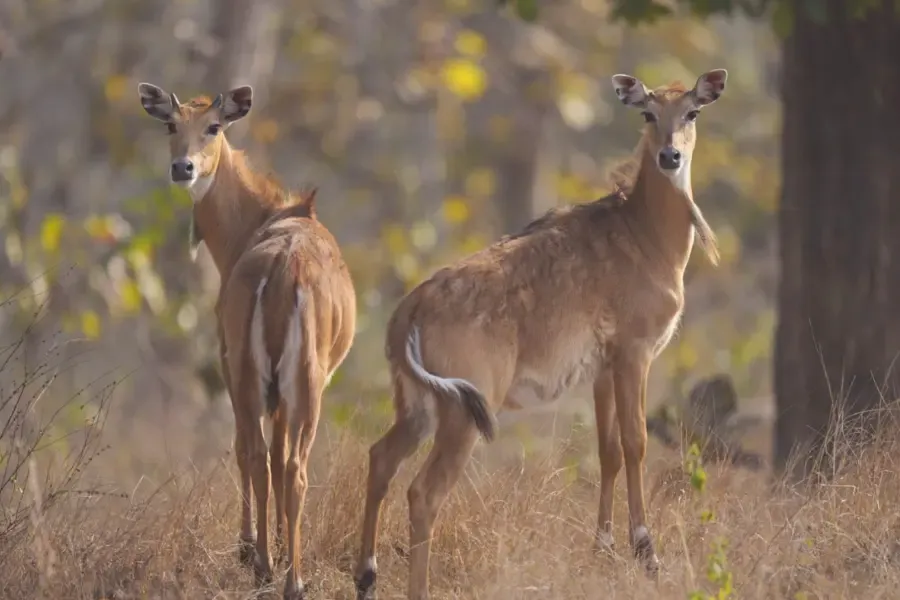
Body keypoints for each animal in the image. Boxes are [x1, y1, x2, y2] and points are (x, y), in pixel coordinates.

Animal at [137, 83, 356, 599]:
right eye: (170, 124)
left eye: (214, 126)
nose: (183, 168)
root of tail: (284, 267)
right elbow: (266, 452)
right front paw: (261, 546)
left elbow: (257, 450)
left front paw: (259, 545)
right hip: (296, 377)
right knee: (286, 464)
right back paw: (285, 575)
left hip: (255, 371)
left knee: (263, 456)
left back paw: (270, 567)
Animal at [352, 68, 728, 599]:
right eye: (648, 113)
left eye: (692, 111)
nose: (669, 156)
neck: (649, 235)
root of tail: (409, 310)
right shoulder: (635, 352)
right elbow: (636, 443)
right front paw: (646, 552)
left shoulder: (601, 367)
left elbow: (608, 450)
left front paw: (602, 548)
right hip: (465, 407)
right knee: (423, 491)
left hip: (416, 401)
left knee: (381, 458)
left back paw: (366, 576)